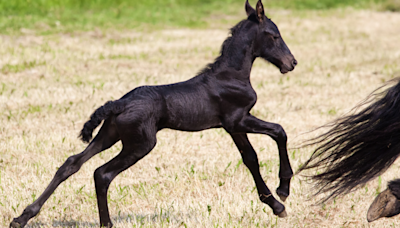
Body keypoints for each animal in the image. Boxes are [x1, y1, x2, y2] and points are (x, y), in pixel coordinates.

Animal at [10, 0, 296, 227]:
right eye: (274, 35)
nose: (291, 63)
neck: (230, 76)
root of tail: (119, 103)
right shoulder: (238, 119)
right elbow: (279, 131)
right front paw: (283, 191)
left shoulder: (233, 126)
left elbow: (250, 159)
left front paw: (275, 206)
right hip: (140, 143)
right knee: (102, 173)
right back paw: (106, 223)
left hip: (109, 134)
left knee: (72, 163)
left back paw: (22, 217)